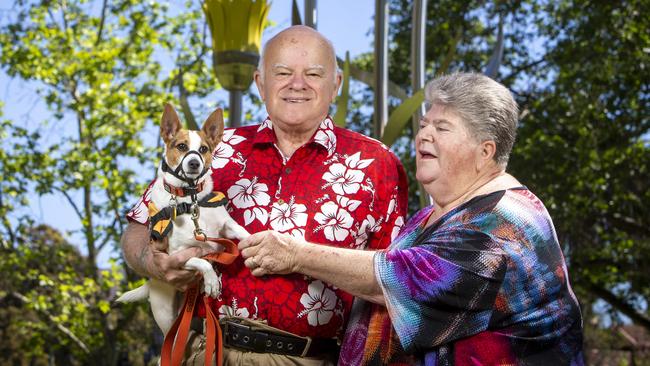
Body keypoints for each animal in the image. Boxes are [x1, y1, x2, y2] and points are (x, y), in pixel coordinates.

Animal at [115, 103, 247, 334]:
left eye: (203, 149)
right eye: (181, 146)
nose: (194, 163)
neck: (190, 199)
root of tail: (152, 282)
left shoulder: (226, 227)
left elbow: (245, 232)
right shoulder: (178, 256)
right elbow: (201, 262)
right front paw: (211, 281)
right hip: (166, 314)